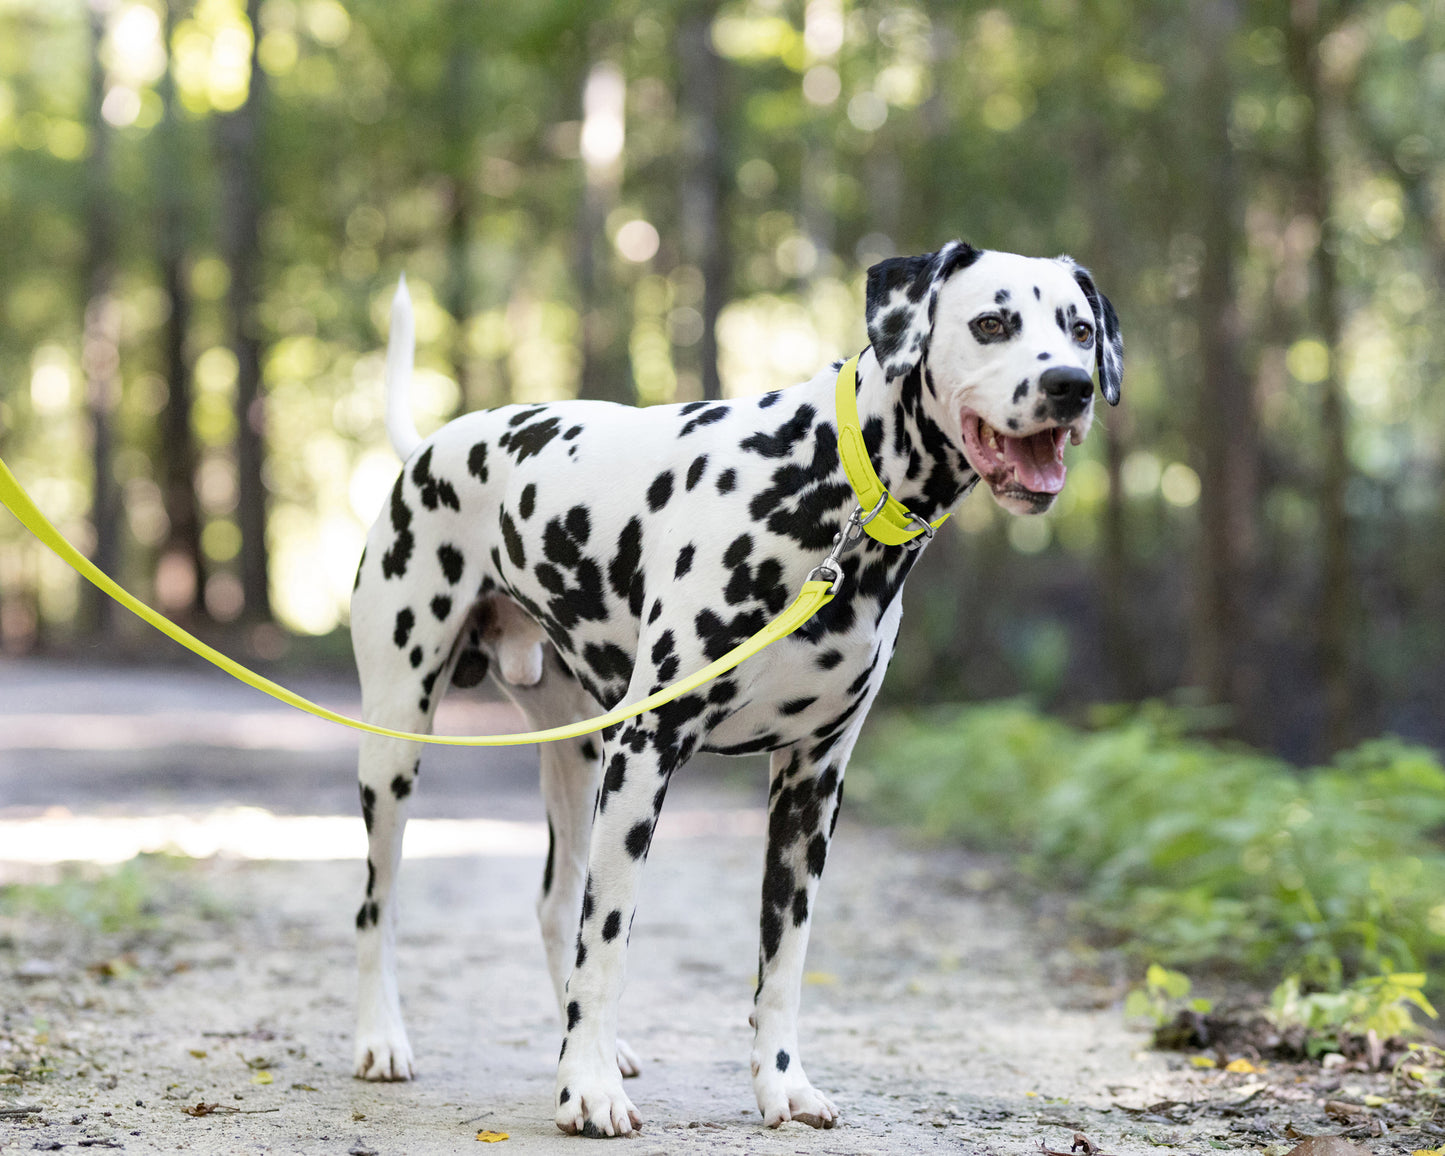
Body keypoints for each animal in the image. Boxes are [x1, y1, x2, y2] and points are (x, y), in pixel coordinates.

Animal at [346, 239, 1115, 1132]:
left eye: (1079, 329)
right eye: (991, 322)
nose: (1070, 385)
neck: (830, 487)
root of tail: (430, 447)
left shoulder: (810, 786)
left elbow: (782, 961)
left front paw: (780, 1084)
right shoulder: (646, 755)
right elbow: (609, 939)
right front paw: (587, 1091)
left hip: (575, 758)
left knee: (554, 904)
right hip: (397, 749)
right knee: (379, 905)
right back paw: (383, 1040)